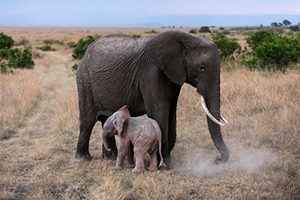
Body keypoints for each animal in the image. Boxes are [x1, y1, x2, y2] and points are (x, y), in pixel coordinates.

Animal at [75, 31, 230, 166]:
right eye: (202, 68)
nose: (217, 160)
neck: (186, 39)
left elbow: (171, 111)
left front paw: (165, 160)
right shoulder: (151, 71)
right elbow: (159, 111)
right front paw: (165, 163)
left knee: (105, 120)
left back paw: (110, 158)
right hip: (84, 80)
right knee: (87, 121)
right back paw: (83, 158)